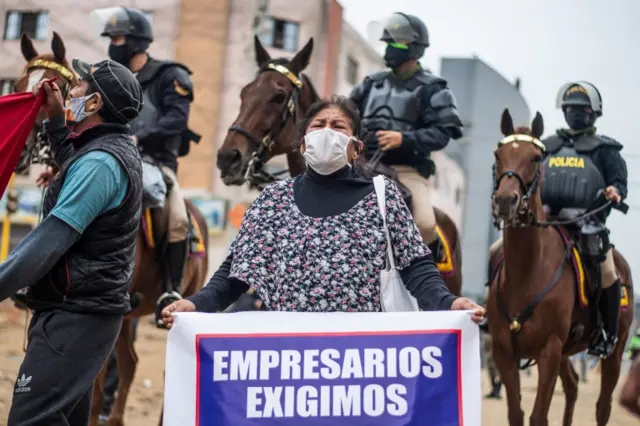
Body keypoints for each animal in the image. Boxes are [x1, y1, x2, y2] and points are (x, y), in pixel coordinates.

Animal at [488, 108, 632, 424]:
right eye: (498, 154)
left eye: (535, 157)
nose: (505, 200)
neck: (528, 272)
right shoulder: (504, 352)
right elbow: (516, 413)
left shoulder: (550, 350)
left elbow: (538, 416)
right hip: (568, 352)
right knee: (573, 386)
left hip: (614, 352)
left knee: (603, 406)